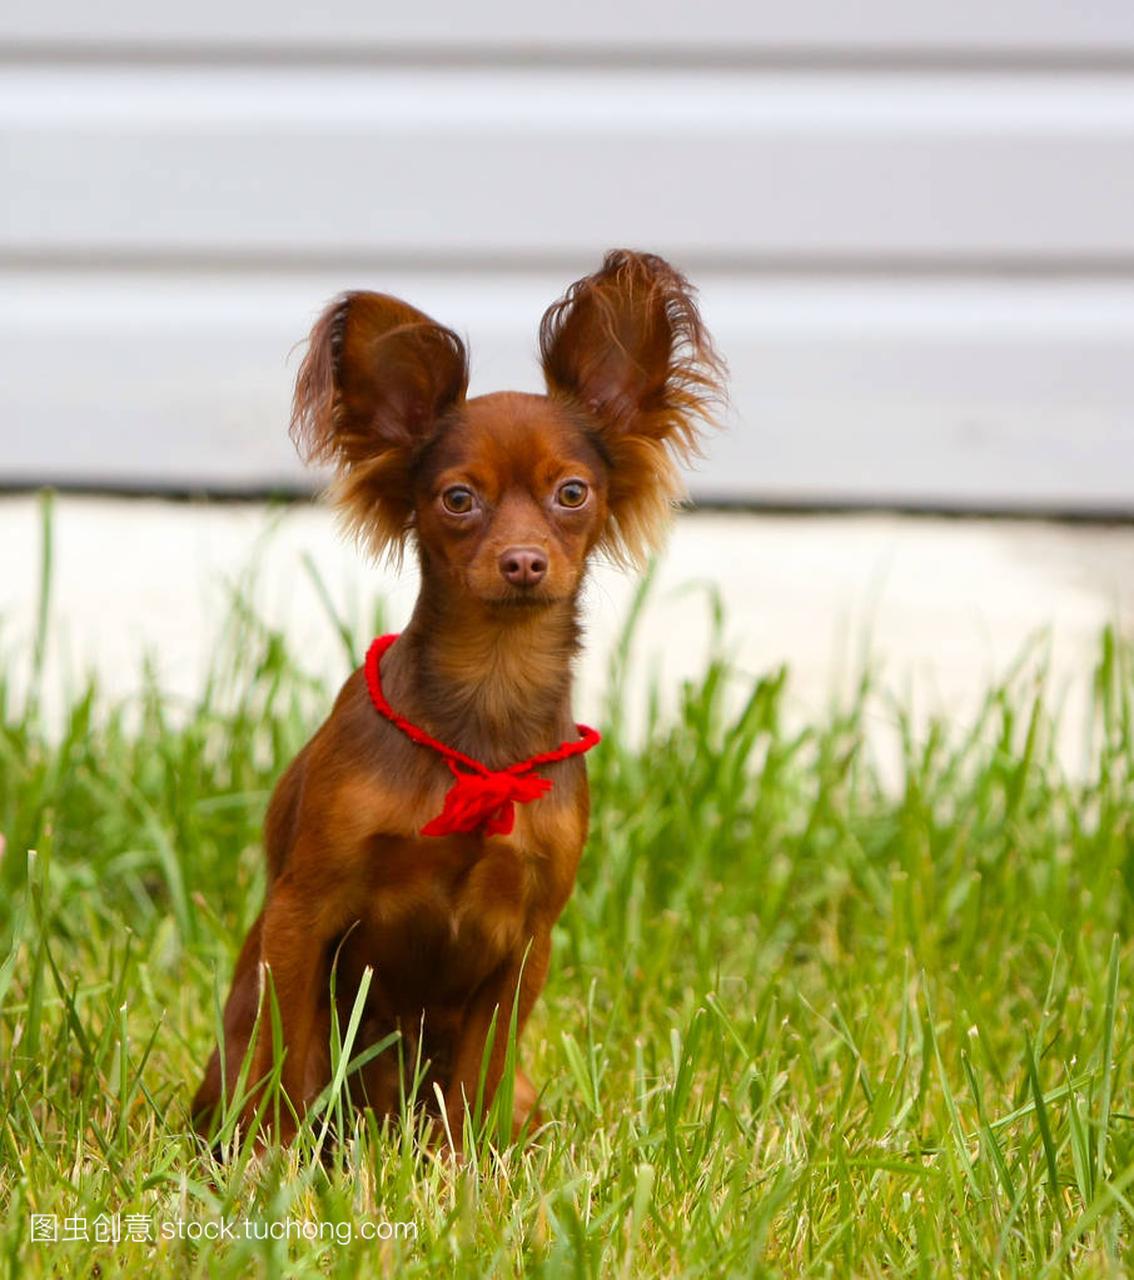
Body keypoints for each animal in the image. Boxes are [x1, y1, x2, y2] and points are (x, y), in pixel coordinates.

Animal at [193, 249, 726, 1152]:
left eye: (572, 493)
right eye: (458, 499)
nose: (523, 561)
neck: (490, 693)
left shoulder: (526, 940)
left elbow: (478, 1079)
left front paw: (463, 1169)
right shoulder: (303, 915)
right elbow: (292, 1061)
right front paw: (274, 1162)